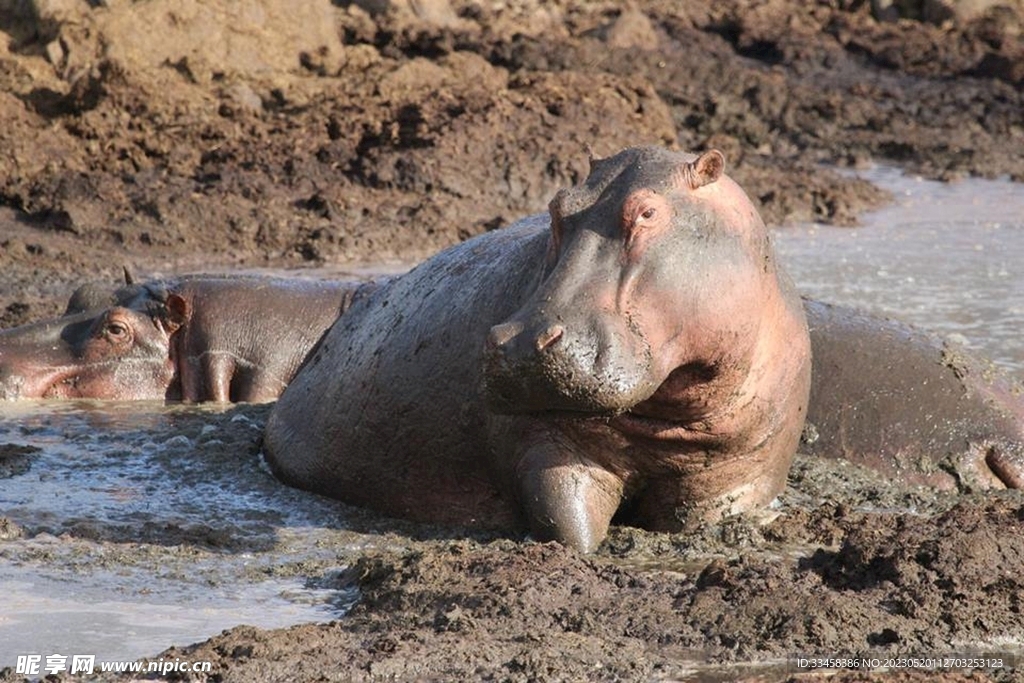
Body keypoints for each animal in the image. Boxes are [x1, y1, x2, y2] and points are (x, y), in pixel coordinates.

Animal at [266, 147, 815, 552]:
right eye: (556, 207)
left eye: (647, 211)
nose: (523, 342)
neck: (669, 411)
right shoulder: (546, 447)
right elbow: (569, 527)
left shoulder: (738, 476)